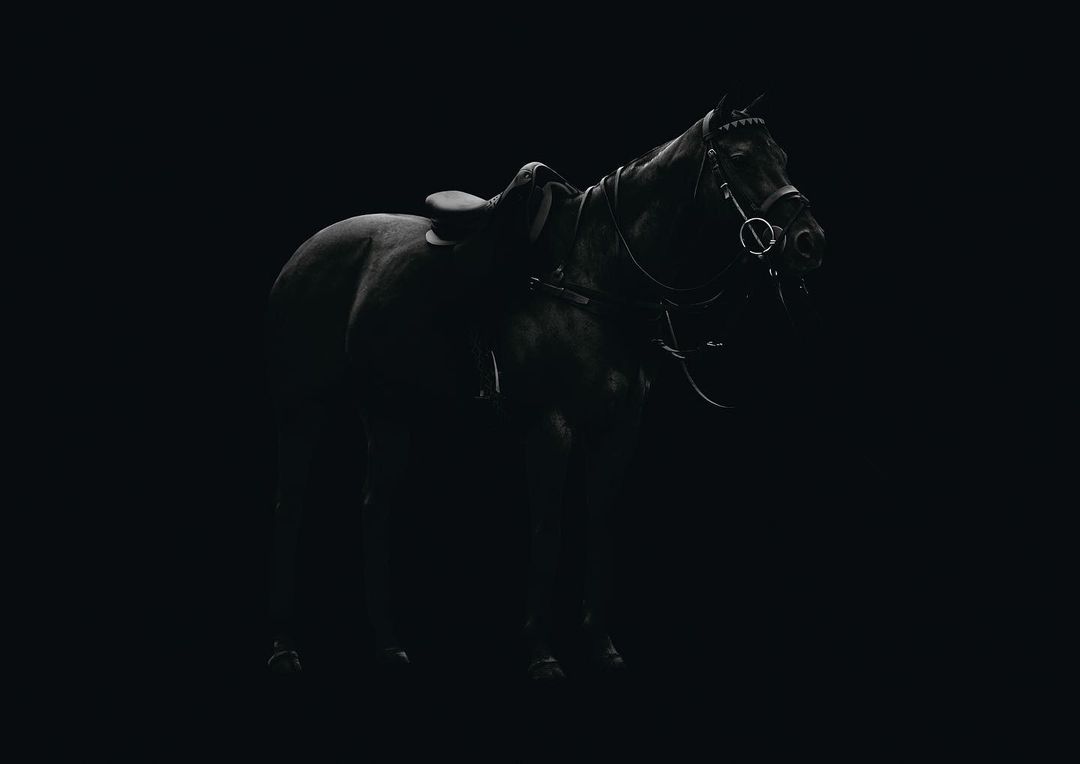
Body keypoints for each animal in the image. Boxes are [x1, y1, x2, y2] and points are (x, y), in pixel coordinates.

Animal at [264, 94, 825, 678]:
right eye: (739, 158)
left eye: (783, 156)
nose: (809, 242)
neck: (591, 275)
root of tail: (302, 253)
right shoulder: (550, 424)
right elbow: (548, 528)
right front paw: (541, 652)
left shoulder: (619, 428)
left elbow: (599, 522)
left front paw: (601, 645)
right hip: (301, 406)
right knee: (290, 505)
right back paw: (285, 644)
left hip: (387, 411)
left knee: (374, 508)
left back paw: (388, 645)